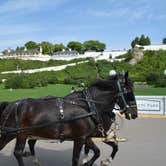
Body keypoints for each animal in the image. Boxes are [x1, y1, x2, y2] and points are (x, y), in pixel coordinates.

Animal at [0, 72, 137, 165]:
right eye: (129, 92)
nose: (135, 113)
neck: (89, 106)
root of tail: (12, 104)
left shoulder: (88, 136)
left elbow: (100, 150)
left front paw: (93, 161)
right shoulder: (80, 138)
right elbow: (76, 158)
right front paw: (89, 161)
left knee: (27, 145)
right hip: (19, 134)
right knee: (18, 152)